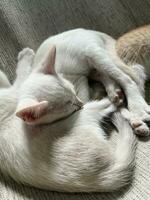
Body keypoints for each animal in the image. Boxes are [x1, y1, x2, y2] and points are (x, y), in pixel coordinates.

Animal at [0, 48, 136, 192]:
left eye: (73, 91)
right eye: (70, 106)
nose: (80, 104)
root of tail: (101, 177)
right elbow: (20, 76)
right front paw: (26, 55)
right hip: (86, 114)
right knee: (108, 105)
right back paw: (116, 101)